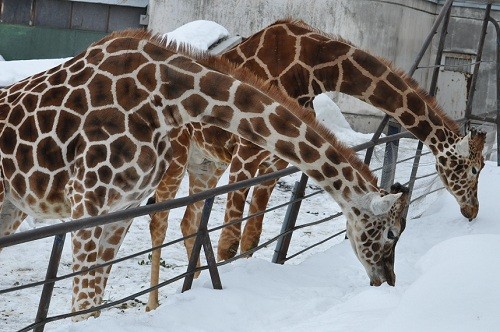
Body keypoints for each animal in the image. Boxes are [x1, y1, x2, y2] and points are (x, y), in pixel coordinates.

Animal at [0, 29, 406, 320]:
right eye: (390, 233)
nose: (387, 281)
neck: (168, 97)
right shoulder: (86, 200)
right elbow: (82, 307)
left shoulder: (121, 210)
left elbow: (94, 304)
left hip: (12, 206)